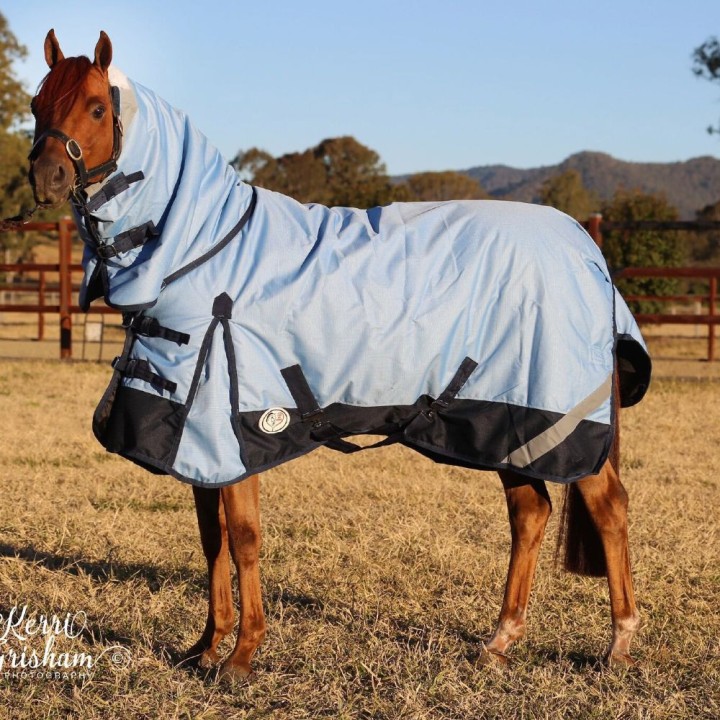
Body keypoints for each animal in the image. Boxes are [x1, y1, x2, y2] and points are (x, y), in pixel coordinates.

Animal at [28, 29, 650, 682]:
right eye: (36, 103)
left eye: (98, 107)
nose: (46, 174)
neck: (204, 247)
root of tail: (586, 249)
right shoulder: (196, 436)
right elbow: (210, 538)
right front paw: (206, 646)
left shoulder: (234, 430)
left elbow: (243, 537)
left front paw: (242, 654)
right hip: (508, 425)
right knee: (530, 513)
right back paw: (500, 640)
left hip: (560, 420)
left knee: (609, 508)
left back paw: (618, 643)